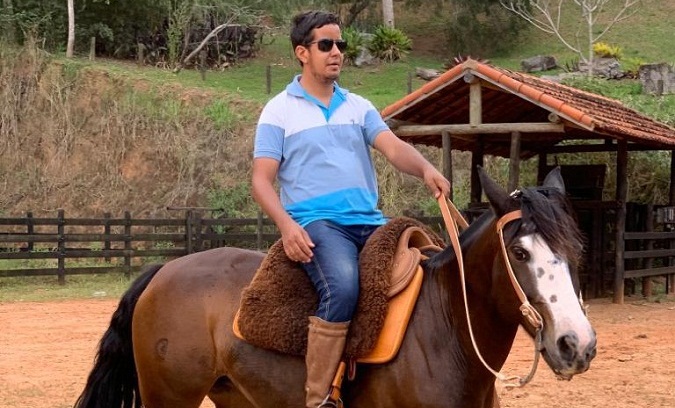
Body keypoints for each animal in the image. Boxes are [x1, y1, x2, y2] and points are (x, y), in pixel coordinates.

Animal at [74, 167, 596, 406]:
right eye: (520, 253)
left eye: (574, 248)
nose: (576, 345)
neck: (444, 331)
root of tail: (164, 271)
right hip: (170, 396)